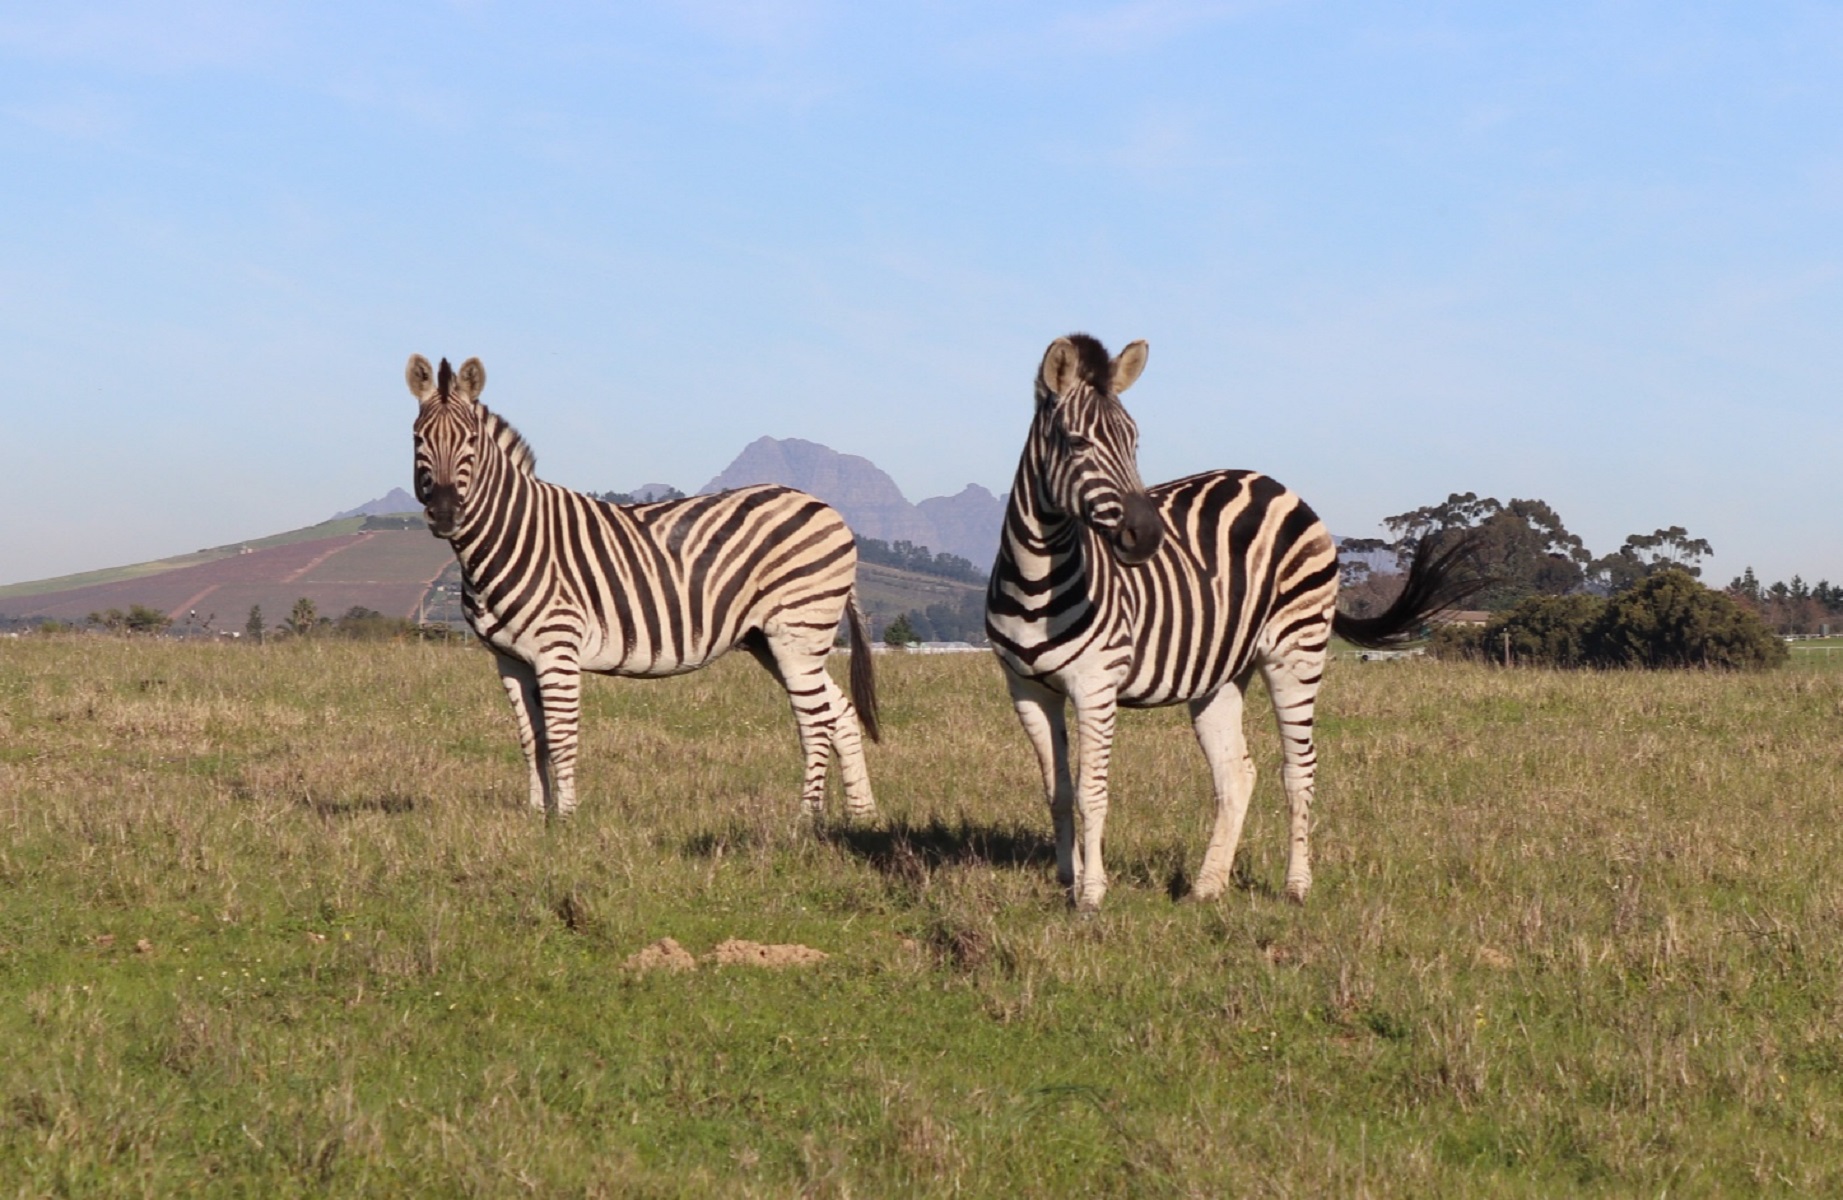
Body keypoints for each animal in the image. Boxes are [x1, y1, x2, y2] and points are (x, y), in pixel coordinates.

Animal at [404, 354, 880, 822]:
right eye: (417, 439)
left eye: (470, 440)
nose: (444, 514)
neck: (512, 536)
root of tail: (829, 510)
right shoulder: (509, 660)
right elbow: (531, 739)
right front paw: (537, 818)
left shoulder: (558, 649)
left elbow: (560, 736)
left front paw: (566, 820)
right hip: (772, 640)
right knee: (840, 711)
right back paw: (862, 813)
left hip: (797, 632)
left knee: (815, 721)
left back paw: (806, 819)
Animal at [986, 334, 1479, 911]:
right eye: (1077, 442)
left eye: (1135, 442)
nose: (1146, 537)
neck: (1037, 579)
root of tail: (1277, 485)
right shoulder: (1027, 690)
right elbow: (1057, 791)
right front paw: (1068, 880)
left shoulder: (1095, 685)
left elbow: (1092, 790)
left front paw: (1090, 895)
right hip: (1220, 673)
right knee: (1237, 774)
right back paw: (1207, 886)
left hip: (1297, 650)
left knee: (1298, 769)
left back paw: (1296, 886)